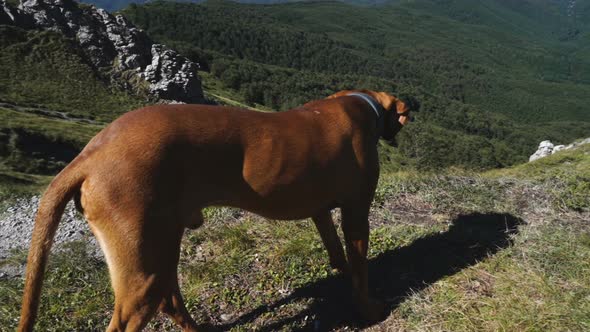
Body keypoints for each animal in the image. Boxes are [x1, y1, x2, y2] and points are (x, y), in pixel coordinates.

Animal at [19, 89, 416, 330]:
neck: (359, 104)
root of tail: (90, 154)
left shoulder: (320, 211)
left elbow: (336, 250)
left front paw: (340, 269)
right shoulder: (356, 212)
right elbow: (361, 270)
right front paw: (369, 309)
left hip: (161, 248)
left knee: (170, 300)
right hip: (142, 272)